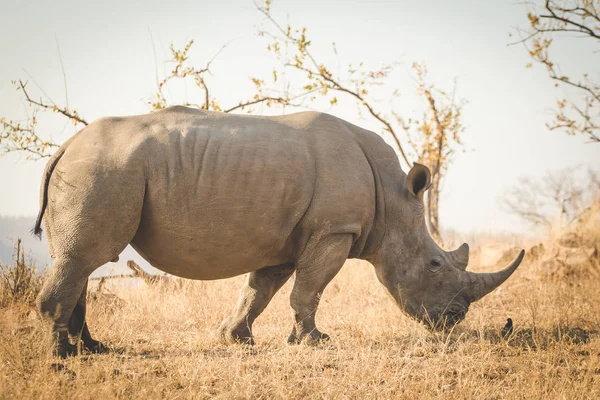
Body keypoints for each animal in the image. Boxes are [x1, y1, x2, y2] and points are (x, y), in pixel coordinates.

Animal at [32, 105, 524, 356]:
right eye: (436, 264)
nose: (453, 320)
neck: (393, 196)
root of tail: (65, 146)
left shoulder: (289, 238)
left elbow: (260, 290)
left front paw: (237, 338)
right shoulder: (334, 230)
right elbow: (309, 288)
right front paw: (316, 342)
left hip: (97, 170)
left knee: (80, 260)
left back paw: (93, 349)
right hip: (103, 170)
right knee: (84, 257)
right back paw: (62, 359)